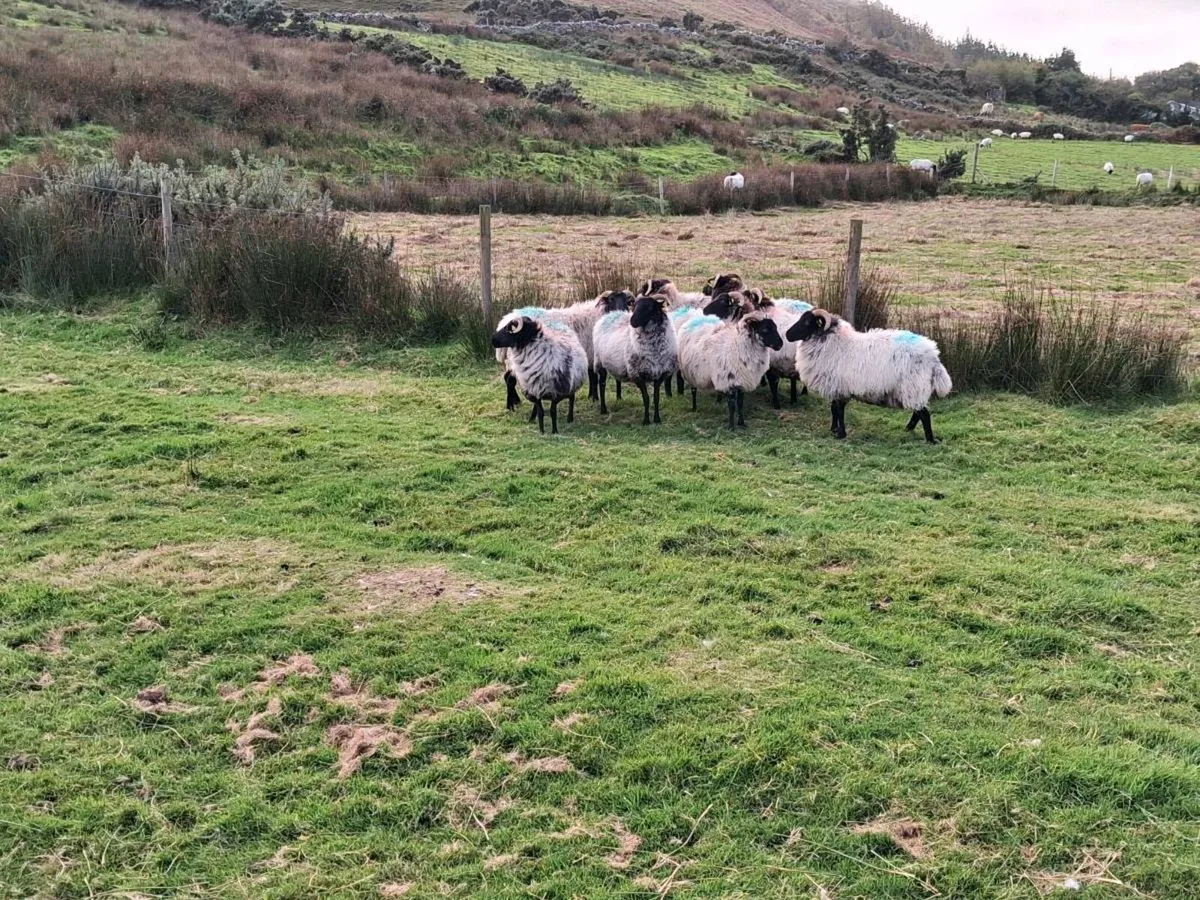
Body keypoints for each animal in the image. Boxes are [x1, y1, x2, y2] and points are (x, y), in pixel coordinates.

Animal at [593, 293, 679, 425]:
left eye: (650, 307)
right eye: (634, 306)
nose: (632, 321)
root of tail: (611, 314)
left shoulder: (660, 373)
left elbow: (656, 398)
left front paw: (657, 419)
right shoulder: (637, 374)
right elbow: (646, 398)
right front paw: (646, 421)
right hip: (600, 362)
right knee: (601, 385)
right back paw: (603, 409)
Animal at [785, 309, 952, 443]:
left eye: (807, 322)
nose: (787, 335)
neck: (831, 342)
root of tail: (933, 356)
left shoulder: (839, 387)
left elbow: (839, 410)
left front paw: (840, 434)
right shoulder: (836, 387)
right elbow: (833, 409)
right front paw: (834, 429)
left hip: (914, 386)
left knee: (924, 414)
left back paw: (930, 440)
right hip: (914, 389)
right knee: (918, 412)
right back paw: (908, 429)